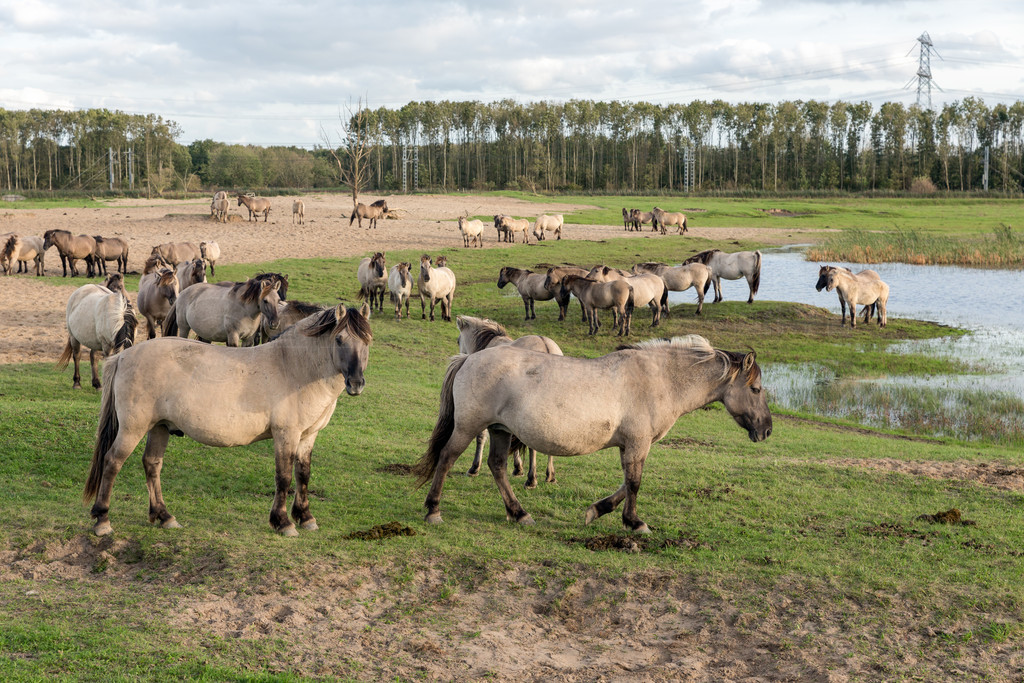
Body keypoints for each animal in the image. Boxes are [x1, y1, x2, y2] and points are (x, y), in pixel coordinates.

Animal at [82, 305, 372, 540]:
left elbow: (303, 475)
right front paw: (283, 522)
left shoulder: (308, 436)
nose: (356, 384)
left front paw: (306, 517)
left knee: (152, 465)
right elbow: (284, 477)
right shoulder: (285, 435)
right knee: (112, 462)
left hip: (159, 427)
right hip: (133, 429)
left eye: (368, 341)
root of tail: (122, 356)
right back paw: (102, 520)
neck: (294, 367)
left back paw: (164, 516)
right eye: (339, 339)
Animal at [411, 335, 770, 532]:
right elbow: (634, 483)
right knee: (446, 459)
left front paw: (596, 511)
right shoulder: (638, 444)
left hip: (500, 431)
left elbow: (626, 484)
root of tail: (469, 357)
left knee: (497, 467)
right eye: (756, 389)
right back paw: (433, 510)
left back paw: (520, 513)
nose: (766, 430)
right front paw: (634, 523)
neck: (659, 379)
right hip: (469, 426)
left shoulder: (630, 445)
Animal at [456, 317, 565, 489]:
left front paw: (474, 468)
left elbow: (481, 436)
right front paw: (518, 468)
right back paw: (550, 475)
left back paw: (531, 479)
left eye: (458, 340)